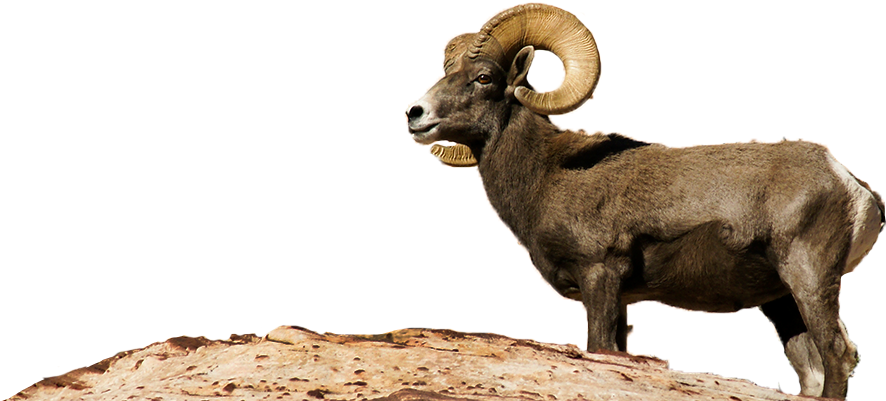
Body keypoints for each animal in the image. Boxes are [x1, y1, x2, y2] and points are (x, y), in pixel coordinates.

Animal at [404, 2, 883, 399]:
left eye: (484, 77)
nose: (416, 114)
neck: (547, 174)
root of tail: (850, 184)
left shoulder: (599, 276)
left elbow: (598, 348)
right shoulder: (620, 299)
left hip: (808, 278)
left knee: (838, 355)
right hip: (781, 301)